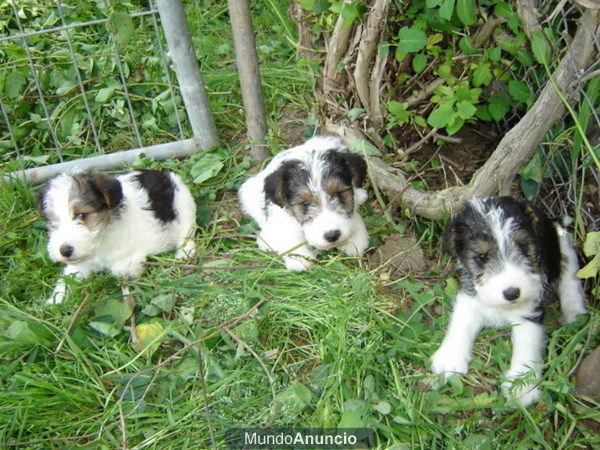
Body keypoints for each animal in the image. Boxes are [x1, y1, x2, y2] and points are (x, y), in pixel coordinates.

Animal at [37, 170, 197, 306]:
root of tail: (168, 175)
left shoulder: (131, 255)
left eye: (81, 215)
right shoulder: (80, 263)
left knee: (187, 232)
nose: (64, 251)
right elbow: (69, 277)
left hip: (183, 207)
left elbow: (121, 269)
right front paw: (57, 298)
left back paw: (184, 253)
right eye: (52, 221)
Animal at [239, 135, 370, 270]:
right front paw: (300, 259)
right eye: (305, 203)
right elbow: (285, 237)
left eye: (338, 194)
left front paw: (354, 240)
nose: (332, 235)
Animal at [432, 195, 584, 406]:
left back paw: (575, 314)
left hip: (564, 250)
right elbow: (460, 323)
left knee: (570, 280)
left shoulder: (528, 312)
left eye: (523, 246)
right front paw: (450, 358)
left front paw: (522, 386)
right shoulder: (470, 297)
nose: (512, 293)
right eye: (481, 256)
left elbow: (527, 343)